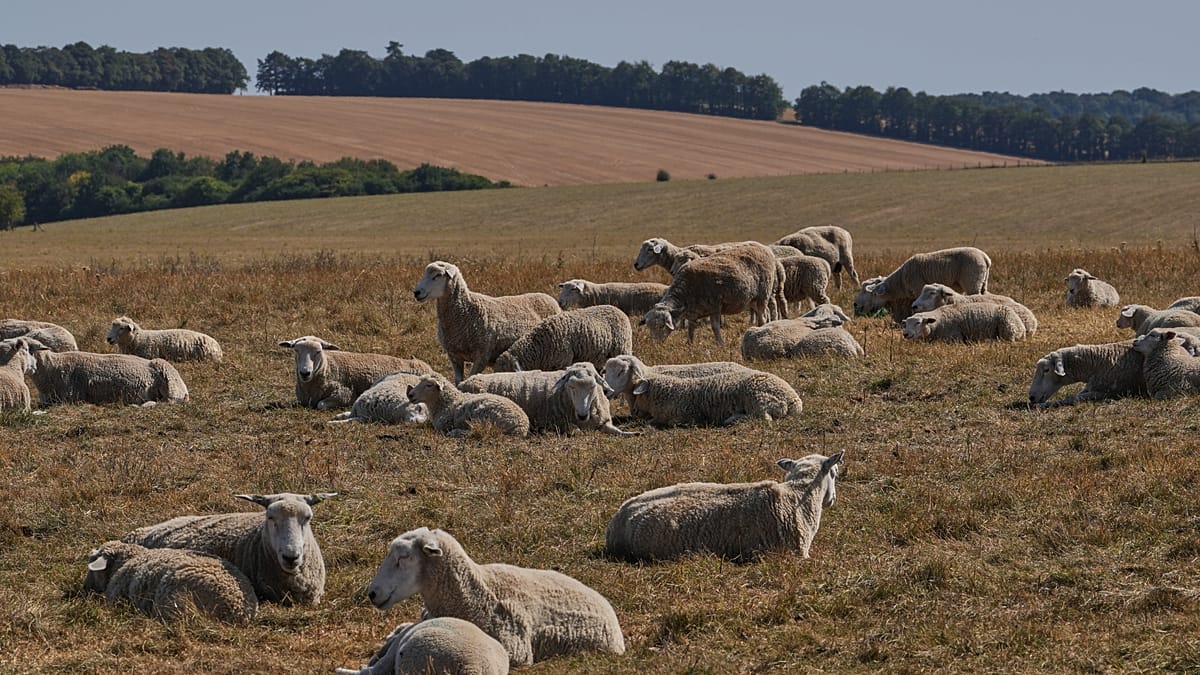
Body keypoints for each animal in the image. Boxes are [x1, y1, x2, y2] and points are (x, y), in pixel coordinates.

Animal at [278, 336, 433, 410]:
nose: (305, 373)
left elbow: (320, 405)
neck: (328, 366)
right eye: (296, 350)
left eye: (318, 351)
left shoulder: (343, 394)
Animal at [414, 261, 561, 383]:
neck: (465, 310)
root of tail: (547, 297)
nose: (416, 292)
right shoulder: (454, 356)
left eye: (438, 275)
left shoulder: (482, 355)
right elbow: (458, 381)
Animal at [459, 362, 635, 436]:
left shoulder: (603, 422)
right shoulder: (559, 422)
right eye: (571, 387)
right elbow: (575, 430)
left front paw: (632, 433)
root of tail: (464, 382)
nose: (582, 415)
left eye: (592, 387)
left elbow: (619, 432)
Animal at [618, 367, 802, 427]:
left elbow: (657, 422)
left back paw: (732, 419)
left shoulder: (685, 416)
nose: (634, 412)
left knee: (763, 419)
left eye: (637, 394)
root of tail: (793, 401)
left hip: (758, 399)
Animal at [640, 244, 779, 345]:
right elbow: (691, 328)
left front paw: (720, 344)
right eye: (649, 327)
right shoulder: (693, 310)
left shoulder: (715, 306)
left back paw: (760, 329)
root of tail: (764, 248)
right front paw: (689, 343)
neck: (685, 291)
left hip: (763, 294)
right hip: (752, 299)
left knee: (762, 316)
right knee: (766, 313)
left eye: (661, 326)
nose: (655, 345)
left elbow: (715, 327)